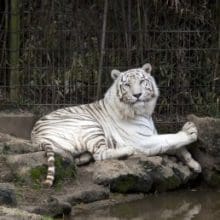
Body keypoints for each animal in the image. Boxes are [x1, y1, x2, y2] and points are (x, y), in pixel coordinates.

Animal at [31, 62, 201, 186]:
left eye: (142, 81)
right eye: (127, 85)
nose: (137, 95)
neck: (144, 112)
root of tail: (36, 136)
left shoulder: (153, 134)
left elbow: (177, 147)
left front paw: (194, 164)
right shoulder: (143, 140)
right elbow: (169, 138)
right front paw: (189, 131)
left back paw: (82, 158)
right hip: (89, 124)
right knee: (100, 154)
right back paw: (128, 150)